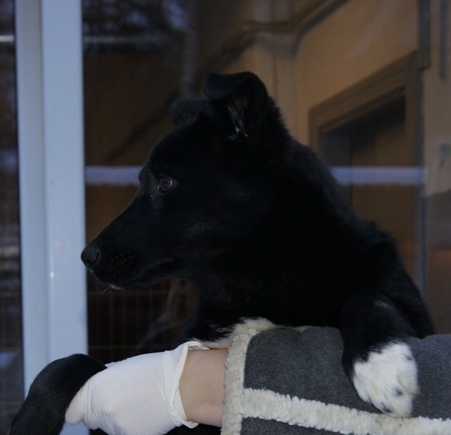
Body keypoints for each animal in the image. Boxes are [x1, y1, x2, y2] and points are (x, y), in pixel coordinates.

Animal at [10, 72, 434, 435]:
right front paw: (32, 415)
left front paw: (380, 362)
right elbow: (77, 362)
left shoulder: (414, 314)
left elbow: (368, 296)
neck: (256, 278)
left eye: (164, 183)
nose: (88, 256)